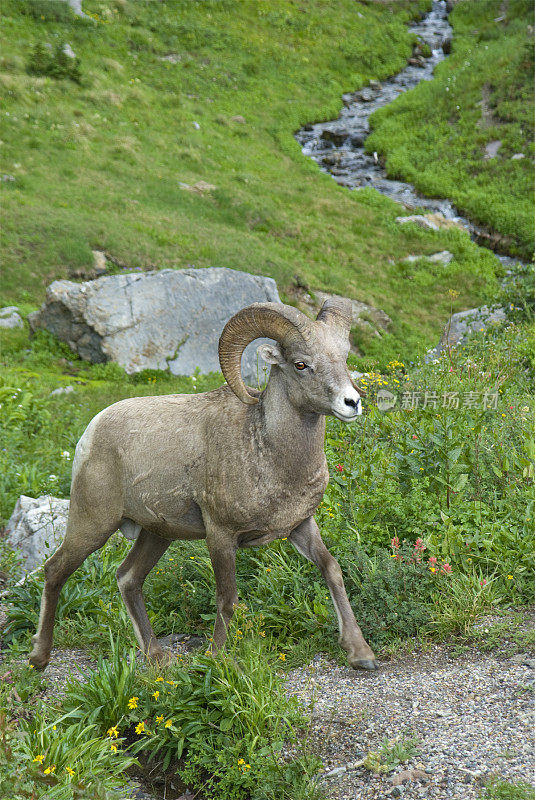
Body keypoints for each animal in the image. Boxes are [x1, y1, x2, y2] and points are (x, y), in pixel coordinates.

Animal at [29, 298, 378, 668]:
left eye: (343, 358)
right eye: (301, 364)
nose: (352, 403)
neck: (267, 453)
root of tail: (92, 431)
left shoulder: (301, 526)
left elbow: (332, 570)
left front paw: (361, 653)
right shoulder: (221, 536)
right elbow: (227, 598)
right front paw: (217, 658)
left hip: (156, 535)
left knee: (128, 579)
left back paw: (158, 657)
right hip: (92, 525)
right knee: (54, 571)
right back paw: (39, 657)